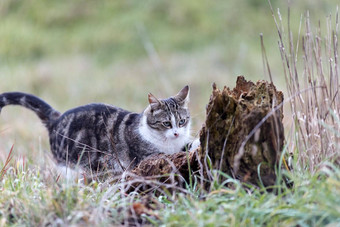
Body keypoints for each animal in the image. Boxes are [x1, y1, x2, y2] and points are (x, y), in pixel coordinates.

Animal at [0, 86, 191, 175]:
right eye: (166, 123)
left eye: (182, 121)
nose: (176, 133)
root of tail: (57, 118)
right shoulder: (146, 157)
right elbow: (165, 157)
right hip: (71, 164)